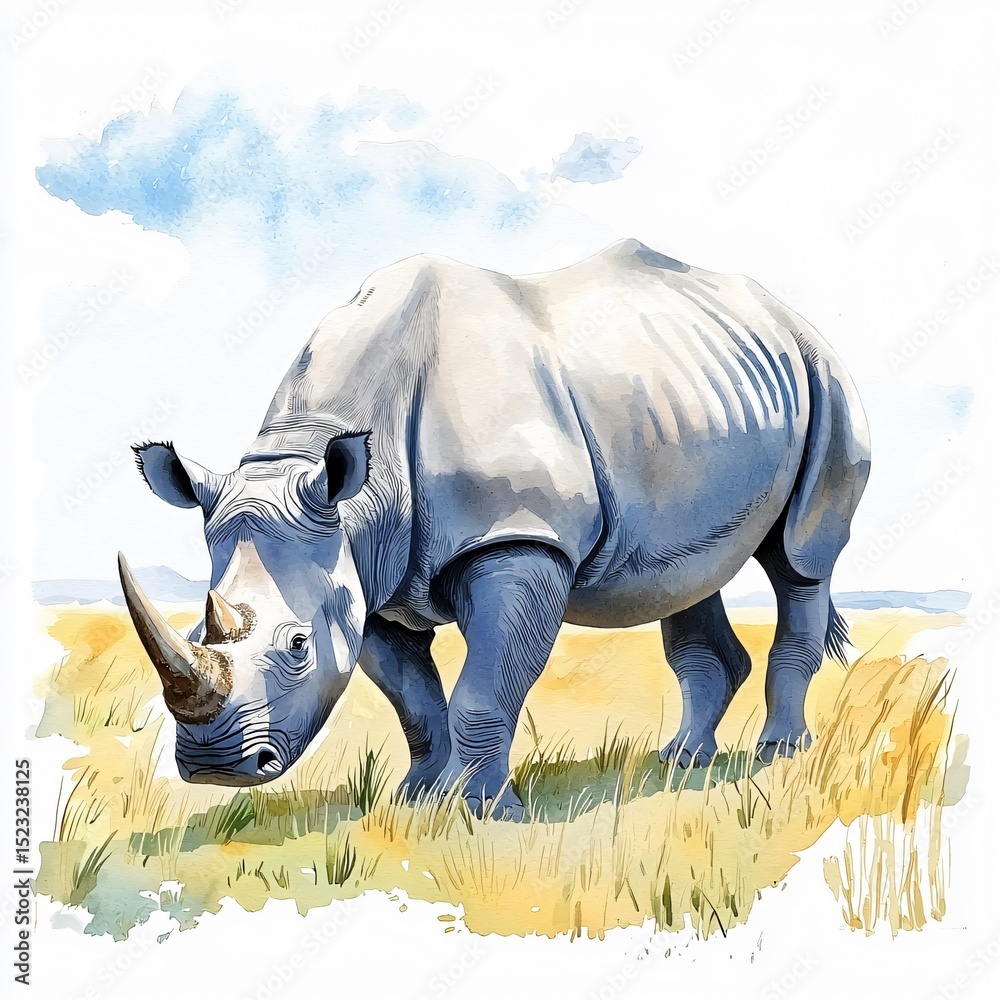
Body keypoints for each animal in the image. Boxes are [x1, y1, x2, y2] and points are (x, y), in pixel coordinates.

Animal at [119, 238, 870, 818]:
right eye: (196, 627)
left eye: (299, 646)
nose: (216, 766)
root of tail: (784, 313)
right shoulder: (369, 572)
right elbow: (416, 702)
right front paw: (418, 799)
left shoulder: (517, 540)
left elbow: (482, 693)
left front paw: (478, 812)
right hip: (699, 398)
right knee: (687, 575)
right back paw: (683, 760)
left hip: (826, 378)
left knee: (800, 560)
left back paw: (778, 751)